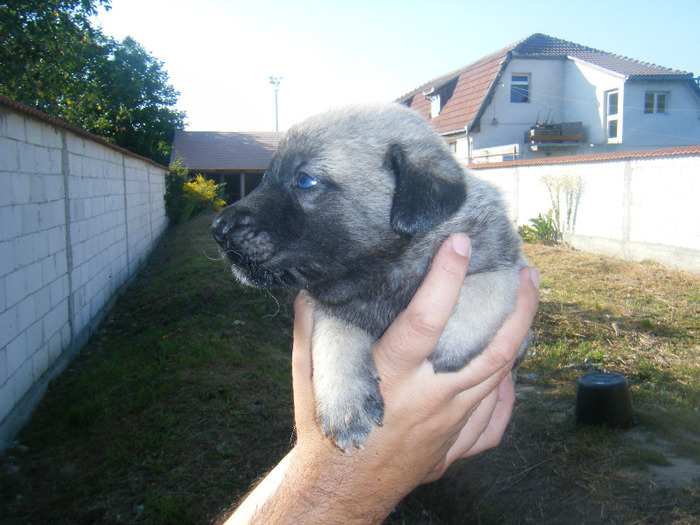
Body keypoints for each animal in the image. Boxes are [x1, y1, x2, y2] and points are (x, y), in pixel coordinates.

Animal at [211, 102, 528, 450]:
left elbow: (491, 284)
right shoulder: (336, 308)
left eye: (305, 180)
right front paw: (344, 404)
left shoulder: (504, 257)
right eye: (266, 177)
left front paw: (453, 339)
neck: (384, 271)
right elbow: (332, 341)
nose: (218, 230)